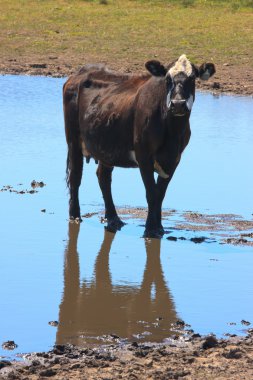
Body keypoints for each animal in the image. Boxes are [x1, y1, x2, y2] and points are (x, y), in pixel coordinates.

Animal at [63, 54, 215, 236]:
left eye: (192, 78)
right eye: (167, 79)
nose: (178, 103)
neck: (172, 132)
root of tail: (79, 73)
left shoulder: (175, 158)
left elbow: (160, 193)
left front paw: (159, 227)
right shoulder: (144, 154)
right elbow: (151, 192)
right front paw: (150, 229)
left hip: (106, 147)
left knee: (103, 178)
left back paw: (113, 218)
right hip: (73, 140)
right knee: (75, 177)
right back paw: (75, 216)